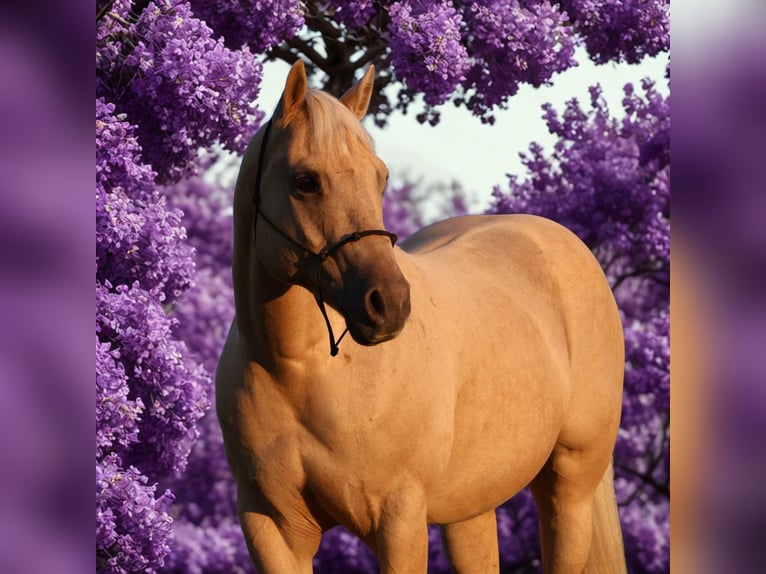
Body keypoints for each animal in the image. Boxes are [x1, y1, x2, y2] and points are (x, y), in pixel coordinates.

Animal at [216, 60, 627, 574]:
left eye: (381, 177)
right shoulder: (271, 530)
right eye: (305, 181)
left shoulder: (399, 520)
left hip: (569, 486)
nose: (389, 305)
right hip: (472, 505)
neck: (300, 368)